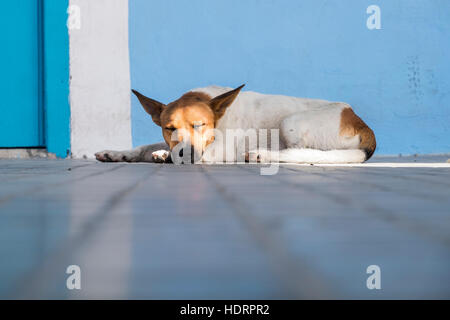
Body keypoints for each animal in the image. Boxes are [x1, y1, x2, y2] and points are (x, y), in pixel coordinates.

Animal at [95, 85, 376, 164]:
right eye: (169, 128)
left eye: (200, 124)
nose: (186, 154)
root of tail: (362, 123)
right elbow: (143, 146)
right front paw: (117, 153)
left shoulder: (220, 150)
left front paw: (165, 155)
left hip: (291, 121)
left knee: (298, 153)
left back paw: (262, 154)